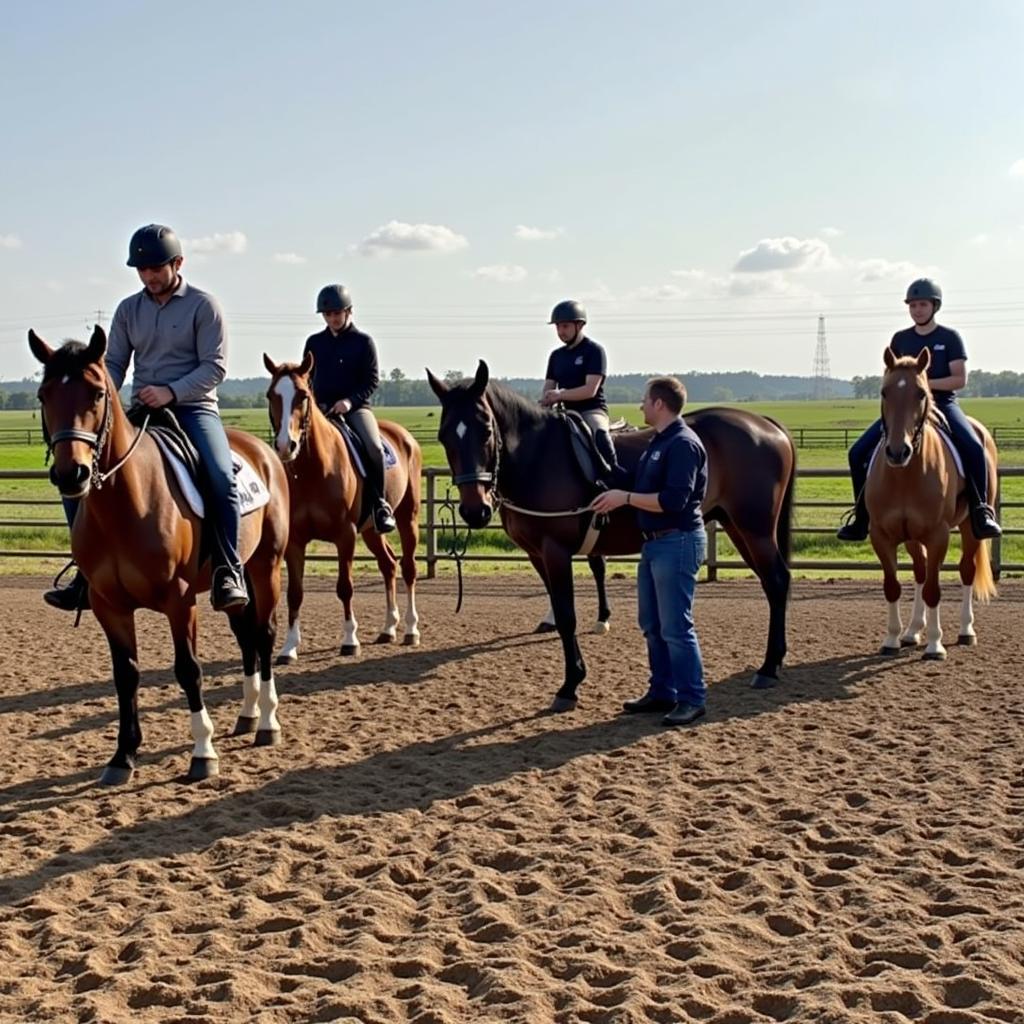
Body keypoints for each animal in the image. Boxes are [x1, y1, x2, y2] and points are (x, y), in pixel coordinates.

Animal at [32, 327, 288, 782]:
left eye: (97, 393)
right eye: (45, 395)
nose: (71, 474)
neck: (124, 505)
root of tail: (264, 452)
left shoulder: (179, 600)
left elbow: (188, 669)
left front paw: (203, 753)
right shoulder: (109, 605)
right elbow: (125, 675)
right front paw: (122, 757)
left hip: (266, 568)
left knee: (264, 635)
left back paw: (268, 723)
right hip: (236, 582)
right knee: (246, 638)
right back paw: (247, 716)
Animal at [264, 350, 423, 655]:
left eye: (302, 395)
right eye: (270, 395)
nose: (285, 445)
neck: (314, 469)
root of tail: (405, 436)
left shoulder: (345, 535)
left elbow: (345, 587)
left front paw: (350, 640)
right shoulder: (296, 541)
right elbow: (295, 593)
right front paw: (289, 647)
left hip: (407, 518)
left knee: (408, 569)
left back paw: (410, 630)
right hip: (372, 530)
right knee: (389, 565)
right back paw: (388, 628)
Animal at [428, 362, 794, 712]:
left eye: (486, 431)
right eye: (445, 436)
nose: (475, 511)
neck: (538, 457)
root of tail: (764, 424)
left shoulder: (555, 551)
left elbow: (567, 615)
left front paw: (570, 685)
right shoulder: (537, 554)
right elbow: (560, 607)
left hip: (755, 529)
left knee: (776, 581)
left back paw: (767, 667)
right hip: (737, 525)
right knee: (772, 582)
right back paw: (773, 662)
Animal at [868, 348, 995, 659]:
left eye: (921, 393)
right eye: (884, 391)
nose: (898, 452)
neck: (905, 475)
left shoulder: (938, 535)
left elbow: (934, 590)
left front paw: (935, 645)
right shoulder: (882, 536)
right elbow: (893, 586)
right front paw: (892, 638)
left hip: (970, 528)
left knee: (966, 571)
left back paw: (965, 630)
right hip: (913, 537)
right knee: (920, 571)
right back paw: (912, 631)